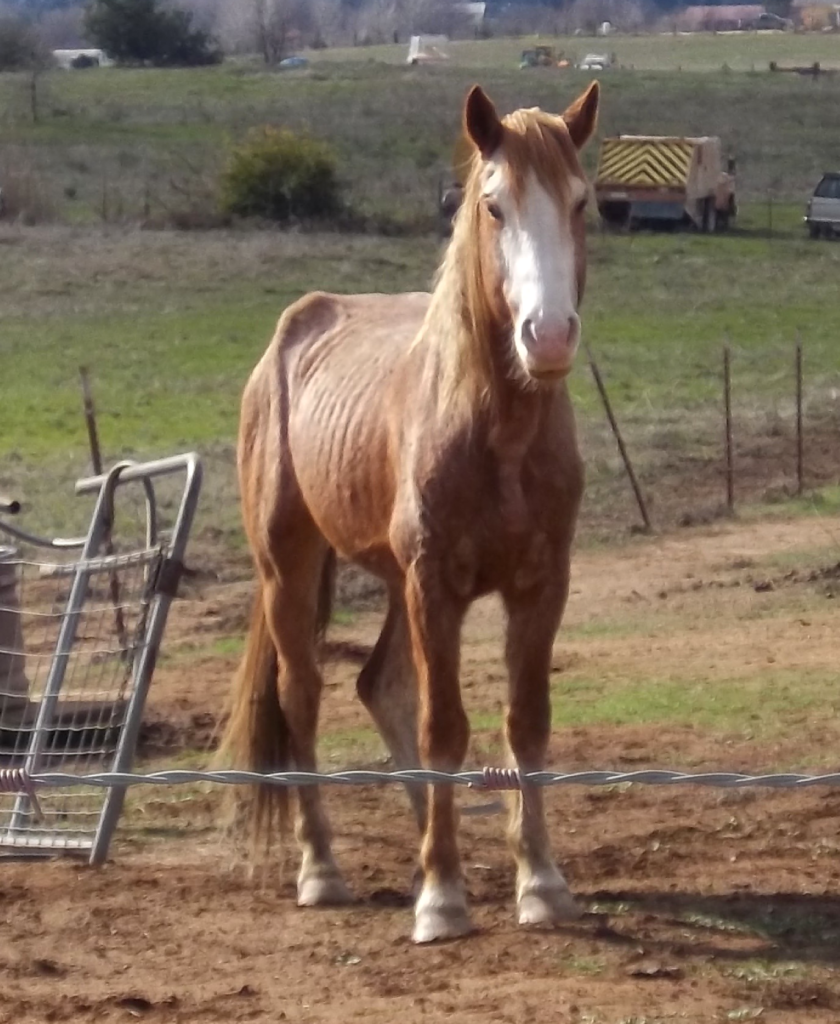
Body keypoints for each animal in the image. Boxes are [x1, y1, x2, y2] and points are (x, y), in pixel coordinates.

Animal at [219, 81, 600, 943]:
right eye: (493, 205)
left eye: (581, 202)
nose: (548, 335)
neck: (498, 433)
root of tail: (292, 334)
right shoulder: (436, 586)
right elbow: (445, 727)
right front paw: (441, 899)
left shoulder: (543, 585)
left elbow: (525, 723)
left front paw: (540, 882)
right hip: (290, 568)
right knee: (303, 698)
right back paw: (323, 870)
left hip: (394, 583)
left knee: (378, 687)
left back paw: (433, 837)